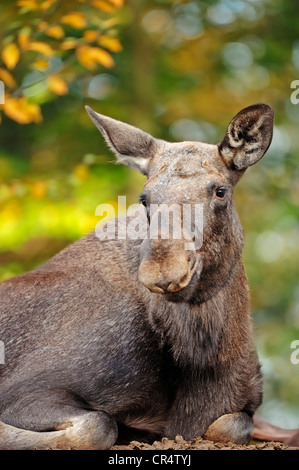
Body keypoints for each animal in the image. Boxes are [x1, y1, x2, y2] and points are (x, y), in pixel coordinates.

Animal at [0, 102, 288, 448]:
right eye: (145, 198)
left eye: (220, 191)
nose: (163, 272)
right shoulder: (25, 389)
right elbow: (99, 425)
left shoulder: (242, 404)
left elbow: (233, 424)